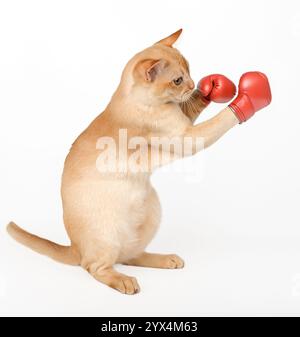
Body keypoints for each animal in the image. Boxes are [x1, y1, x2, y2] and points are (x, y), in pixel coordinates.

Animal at [6, 28, 239, 292]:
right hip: (108, 236)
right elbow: (220, 121)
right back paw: (126, 282)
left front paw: (210, 89)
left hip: (152, 212)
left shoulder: (184, 120)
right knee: (95, 267)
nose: (192, 83)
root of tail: (75, 247)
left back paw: (166, 260)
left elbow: (194, 104)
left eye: (189, 70)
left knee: (129, 256)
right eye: (177, 80)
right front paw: (243, 104)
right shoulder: (187, 137)